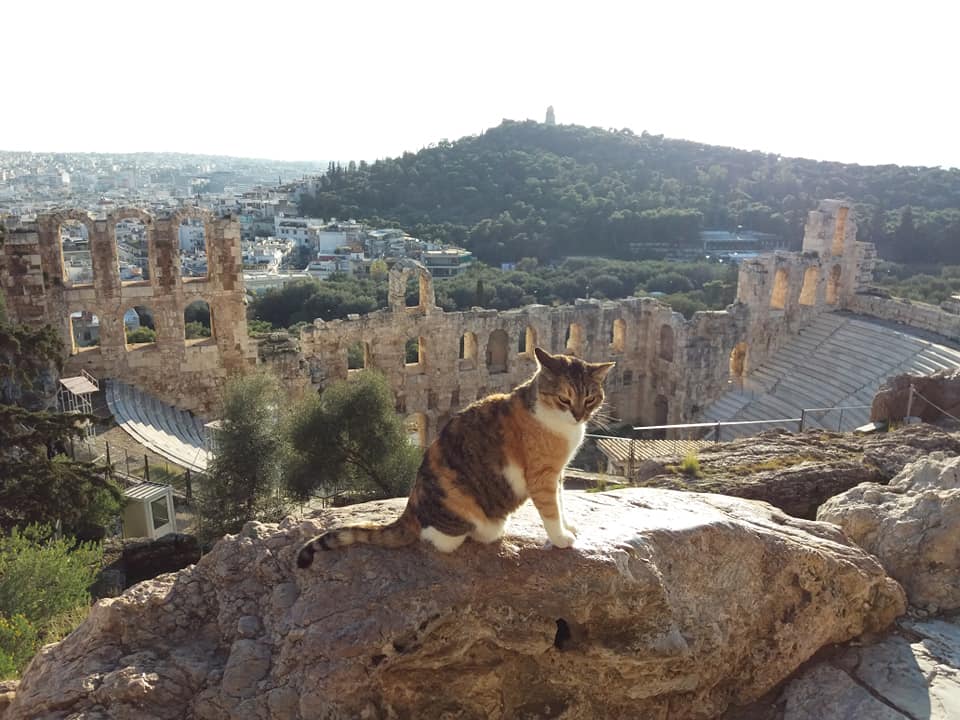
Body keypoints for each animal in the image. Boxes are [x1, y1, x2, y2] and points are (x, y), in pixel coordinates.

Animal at [298, 346, 616, 564]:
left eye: (590, 398)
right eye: (564, 398)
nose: (579, 415)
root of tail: (410, 508)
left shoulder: (558, 473)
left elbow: (561, 502)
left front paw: (568, 526)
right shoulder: (541, 475)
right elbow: (550, 510)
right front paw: (561, 539)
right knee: (435, 538)